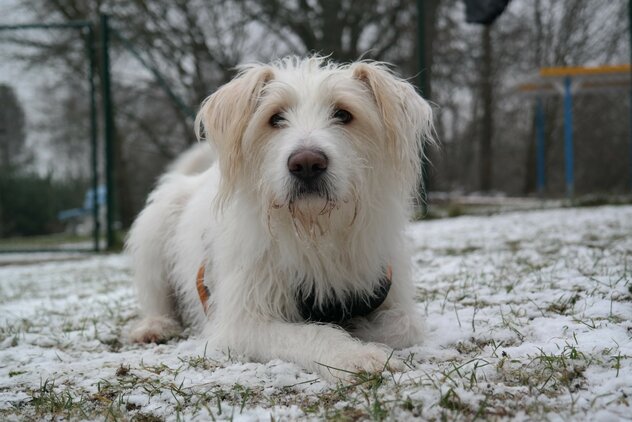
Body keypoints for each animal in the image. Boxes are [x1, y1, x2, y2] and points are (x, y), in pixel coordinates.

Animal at [128, 54, 434, 380]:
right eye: (275, 118)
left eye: (343, 113)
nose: (307, 163)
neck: (317, 232)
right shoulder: (243, 321)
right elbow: (313, 332)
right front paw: (355, 354)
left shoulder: (385, 287)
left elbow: (406, 326)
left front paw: (362, 331)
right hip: (154, 231)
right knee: (156, 298)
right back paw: (155, 326)